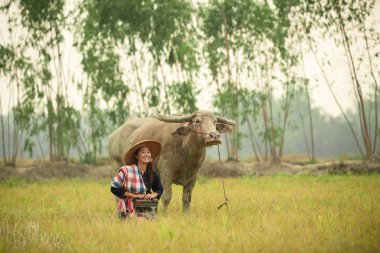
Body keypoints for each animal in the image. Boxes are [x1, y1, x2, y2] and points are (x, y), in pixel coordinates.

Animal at [107, 110, 236, 211]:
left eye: (215, 122)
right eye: (197, 121)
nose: (214, 136)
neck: (187, 153)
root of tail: (113, 136)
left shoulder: (193, 176)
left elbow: (187, 199)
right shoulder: (166, 172)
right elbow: (166, 196)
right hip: (115, 166)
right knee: (118, 196)